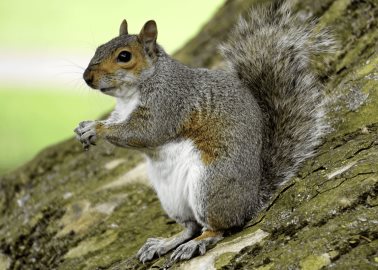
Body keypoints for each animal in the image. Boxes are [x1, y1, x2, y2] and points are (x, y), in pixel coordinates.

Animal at [74, 0, 334, 264]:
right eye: (99, 47)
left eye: (124, 56)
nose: (87, 77)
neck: (133, 92)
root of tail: (251, 201)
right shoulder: (122, 112)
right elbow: (118, 123)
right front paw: (84, 127)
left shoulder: (168, 104)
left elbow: (144, 133)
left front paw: (97, 129)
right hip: (173, 199)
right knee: (191, 226)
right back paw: (165, 243)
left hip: (210, 186)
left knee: (218, 227)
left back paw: (198, 242)